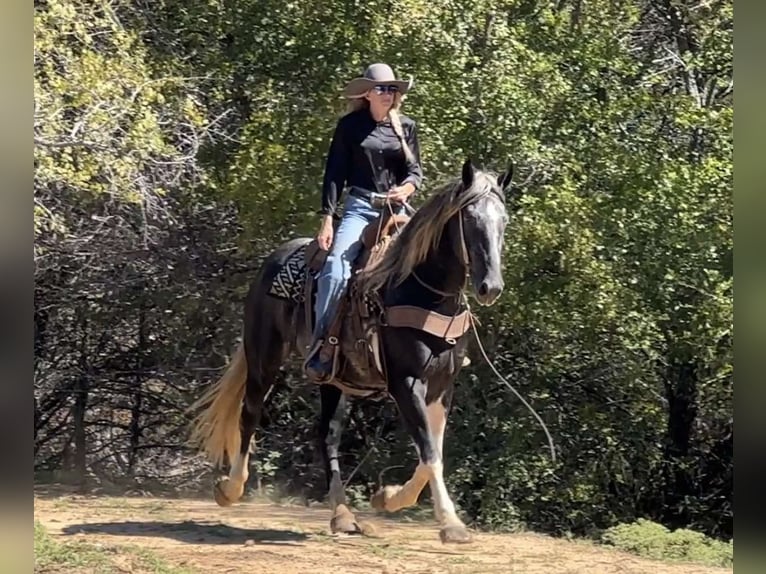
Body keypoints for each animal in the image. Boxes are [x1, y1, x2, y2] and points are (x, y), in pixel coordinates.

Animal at [189, 158, 514, 544]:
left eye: (504, 220)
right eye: (470, 219)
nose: (490, 286)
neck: (423, 291)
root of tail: (274, 258)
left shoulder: (442, 387)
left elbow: (432, 453)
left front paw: (387, 498)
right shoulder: (406, 384)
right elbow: (430, 453)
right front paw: (451, 524)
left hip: (335, 380)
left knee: (327, 436)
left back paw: (342, 515)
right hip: (263, 358)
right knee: (250, 413)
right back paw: (230, 489)